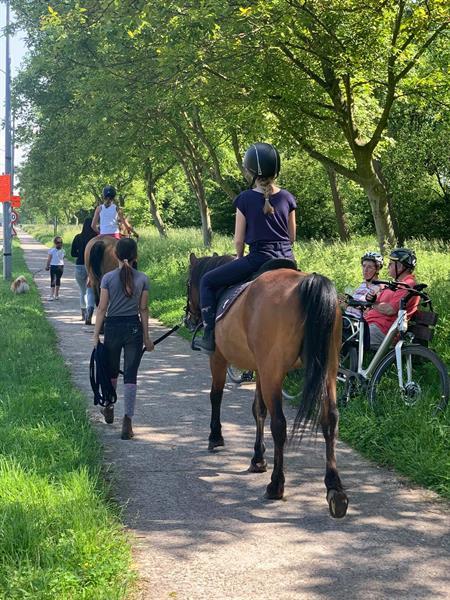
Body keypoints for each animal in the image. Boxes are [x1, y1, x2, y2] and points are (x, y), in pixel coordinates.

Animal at [186, 253, 348, 516]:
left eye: (188, 283)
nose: (189, 317)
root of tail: (309, 282)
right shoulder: (260, 369)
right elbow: (258, 410)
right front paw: (257, 458)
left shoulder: (219, 358)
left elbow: (216, 395)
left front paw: (215, 437)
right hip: (327, 369)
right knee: (330, 420)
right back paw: (335, 489)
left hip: (274, 371)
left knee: (280, 424)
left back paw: (276, 485)